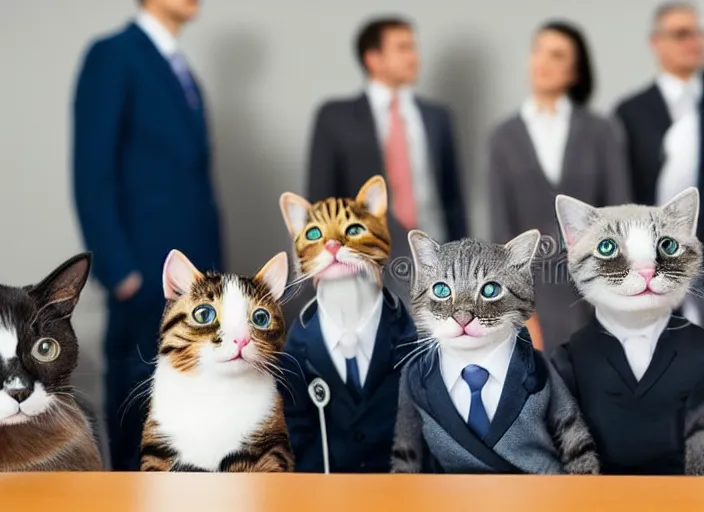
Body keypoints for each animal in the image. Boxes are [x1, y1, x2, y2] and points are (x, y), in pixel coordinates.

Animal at [140, 249, 294, 472]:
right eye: (204, 314)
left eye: (261, 318)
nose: (241, 339)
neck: (218, 389)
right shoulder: (158, 445)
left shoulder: (270, 442)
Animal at [390, 230, 600, 474]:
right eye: (441, 290)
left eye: (490, 290)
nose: (462, 317)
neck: (473, 362)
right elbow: (405, 454)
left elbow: (578, 446)